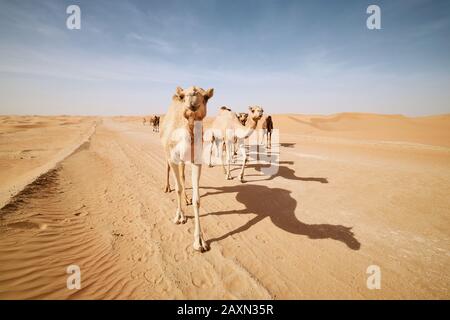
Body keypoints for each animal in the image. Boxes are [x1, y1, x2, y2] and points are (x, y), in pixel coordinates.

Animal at [159, 85, 214, 252]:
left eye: (206, 97)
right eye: (183, 96)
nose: (192, 101)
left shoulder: (196, 160)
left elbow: (197, 200)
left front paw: (200, 241)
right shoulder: (173, 157)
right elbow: (177, 188)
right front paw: (180, 216)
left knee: (183, 177)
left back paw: (186, 199)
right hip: (167, 152)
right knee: (168, 169)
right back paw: (167, 187)